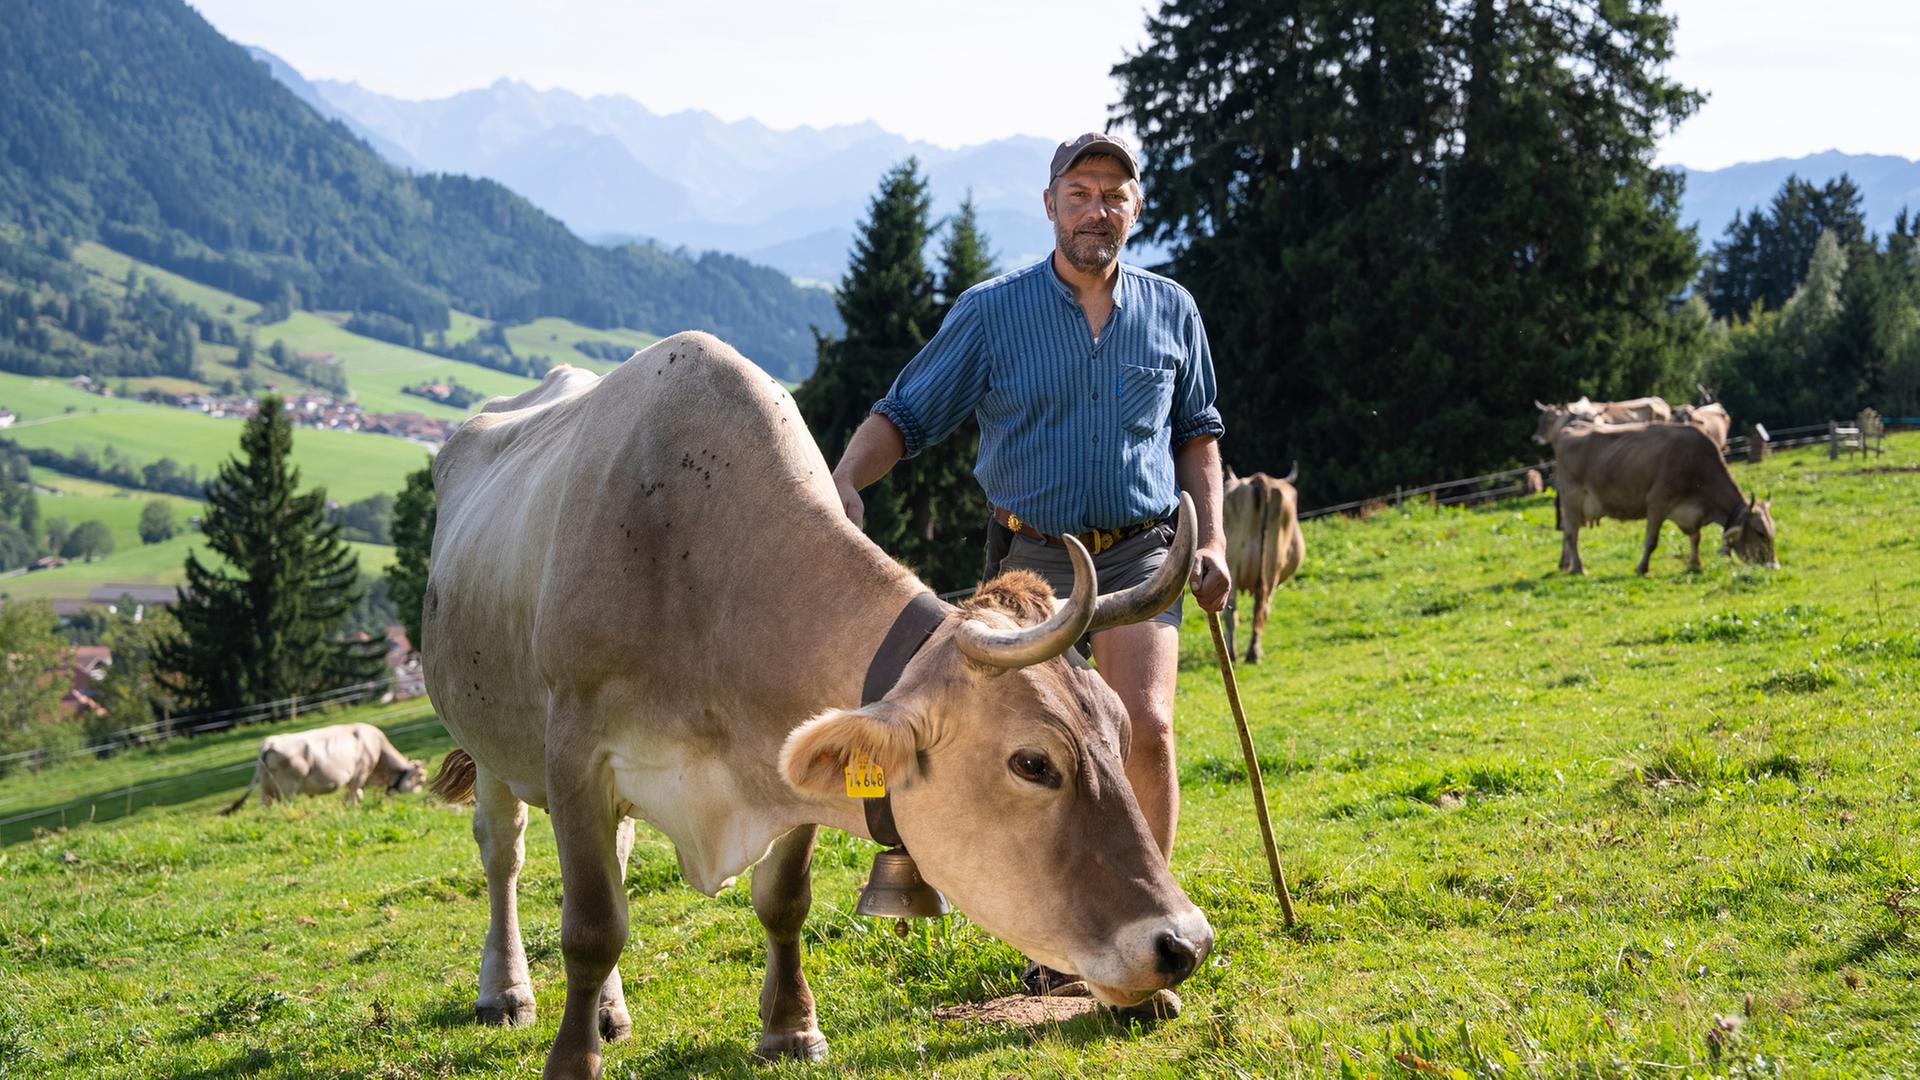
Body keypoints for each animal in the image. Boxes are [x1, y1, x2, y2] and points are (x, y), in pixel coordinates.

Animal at [220, 722, 425, 814]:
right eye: (420, 779)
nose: (420, 797)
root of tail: (269, 742)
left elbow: (353, 795)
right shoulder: (360, 774)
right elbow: (355, 795)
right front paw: (353, 809)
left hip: (267, 787)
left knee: (267, 805)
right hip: (288, 787)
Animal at [423, 332, 1212, 1079]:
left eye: (1120, 734)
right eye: (1032, 763)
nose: (1186, 942)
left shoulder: (787, 760)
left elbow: (783, 900)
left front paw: (790, 1030)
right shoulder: (577, 758)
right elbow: (592, 926)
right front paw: (571, 1061)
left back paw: (611, 1014)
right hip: (493, 748)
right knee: (503, 855)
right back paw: (505, 993)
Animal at [1220, 464, 1304, 663]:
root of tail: (1260, 480)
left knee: (1235, 610)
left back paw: (1236, 652)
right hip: (1269, 566)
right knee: (1258, 607)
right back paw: (1251, 652)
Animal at [1546, 420, 1778, 575]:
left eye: (1772, 531)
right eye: (1759, 532)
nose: (1774, 565)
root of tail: (1568, 429)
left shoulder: (1691, 512)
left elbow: (1696, 537)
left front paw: (1695, 562)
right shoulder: (1657, 503)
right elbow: (1651, 541)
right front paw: (1642, 568)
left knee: (1567, 532)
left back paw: (1565, 564)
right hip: (1572, 499)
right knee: (1572, 535)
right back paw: (1579, 568)